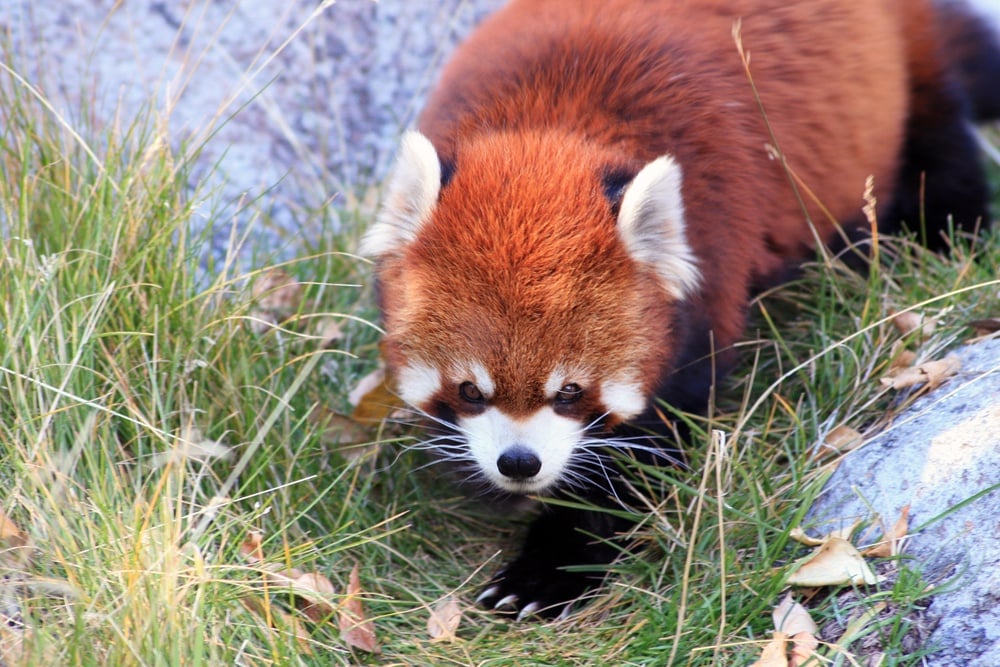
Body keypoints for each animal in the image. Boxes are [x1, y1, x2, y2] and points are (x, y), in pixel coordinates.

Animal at [360, 0, 1000, 620]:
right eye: (470, 389)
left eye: (570, 391)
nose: (520, 463)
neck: (554, 125)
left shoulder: (711, 272)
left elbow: (635, 462)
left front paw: (548, 569)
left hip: (906, 85)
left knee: (940, 152)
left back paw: (942, 237)